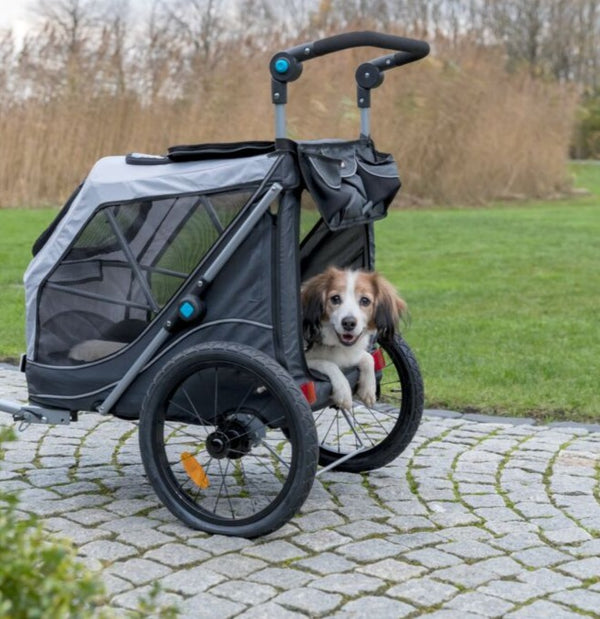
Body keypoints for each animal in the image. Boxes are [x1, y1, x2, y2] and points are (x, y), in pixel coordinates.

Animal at [302, 266, 406, 412]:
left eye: (365, 301)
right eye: (335, 298)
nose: (349, 323)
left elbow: (369, 358)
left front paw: (368, 390)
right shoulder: (306, 363)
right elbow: (328, 363)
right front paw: (344, 392)